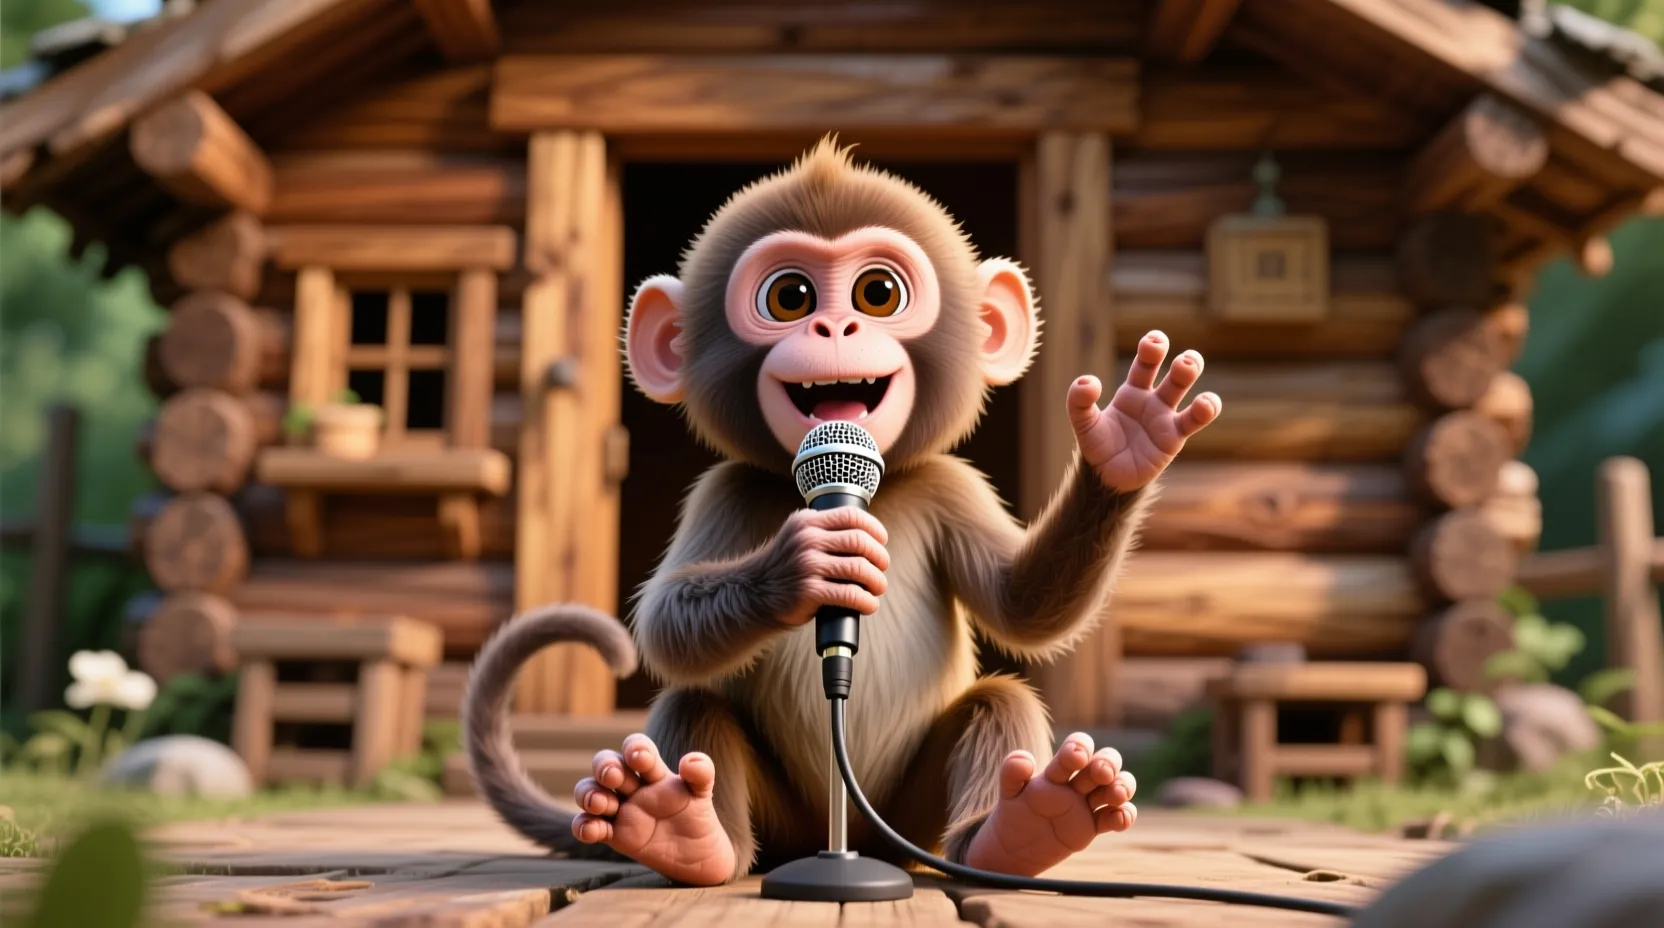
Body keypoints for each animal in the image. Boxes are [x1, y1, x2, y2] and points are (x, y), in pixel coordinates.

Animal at [462, 136, 1221, 887]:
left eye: (877, 293)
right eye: (790, 296)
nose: (835, 324)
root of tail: (845, 831)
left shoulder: (948, 486)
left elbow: (1024, 608)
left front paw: (1127, 441)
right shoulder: (727, 489)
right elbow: (664, 621)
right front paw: (804, 564)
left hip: (907, 819)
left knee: (998, 703)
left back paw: (1022, 830)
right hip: (788, 820)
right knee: (692, 702)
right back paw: (679, 831)